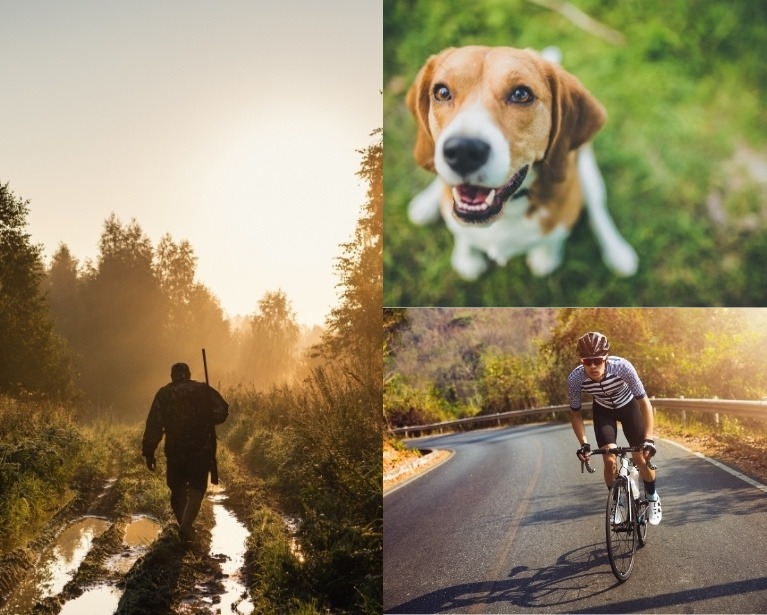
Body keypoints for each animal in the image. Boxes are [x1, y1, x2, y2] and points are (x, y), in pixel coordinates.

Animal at [408, 44, 636, 280]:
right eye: (442, 92)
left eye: (521, 94)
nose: (462, 151)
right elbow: (462, 235)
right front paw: (467, 257)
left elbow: (555, 239)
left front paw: (547, 256)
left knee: (599, 209)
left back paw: (618, 252)